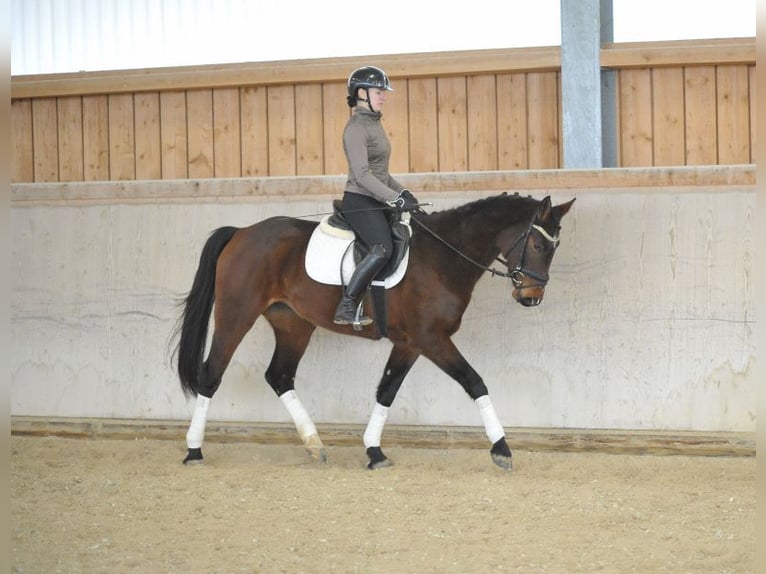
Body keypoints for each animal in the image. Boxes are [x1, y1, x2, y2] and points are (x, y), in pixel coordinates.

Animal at [172, 194, 568, 472]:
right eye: (537, 245)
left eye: (555, 248)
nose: (531, 297)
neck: (443, 257)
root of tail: (241, 233)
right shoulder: (432, 339)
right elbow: (475, 382)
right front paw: (502, 449)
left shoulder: (410, 343)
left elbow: (387, 390)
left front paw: (375, 452)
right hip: (236, 314)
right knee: (211, 375)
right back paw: (194, 450)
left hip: (293, 323)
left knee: (279, 376)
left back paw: (314, 444)